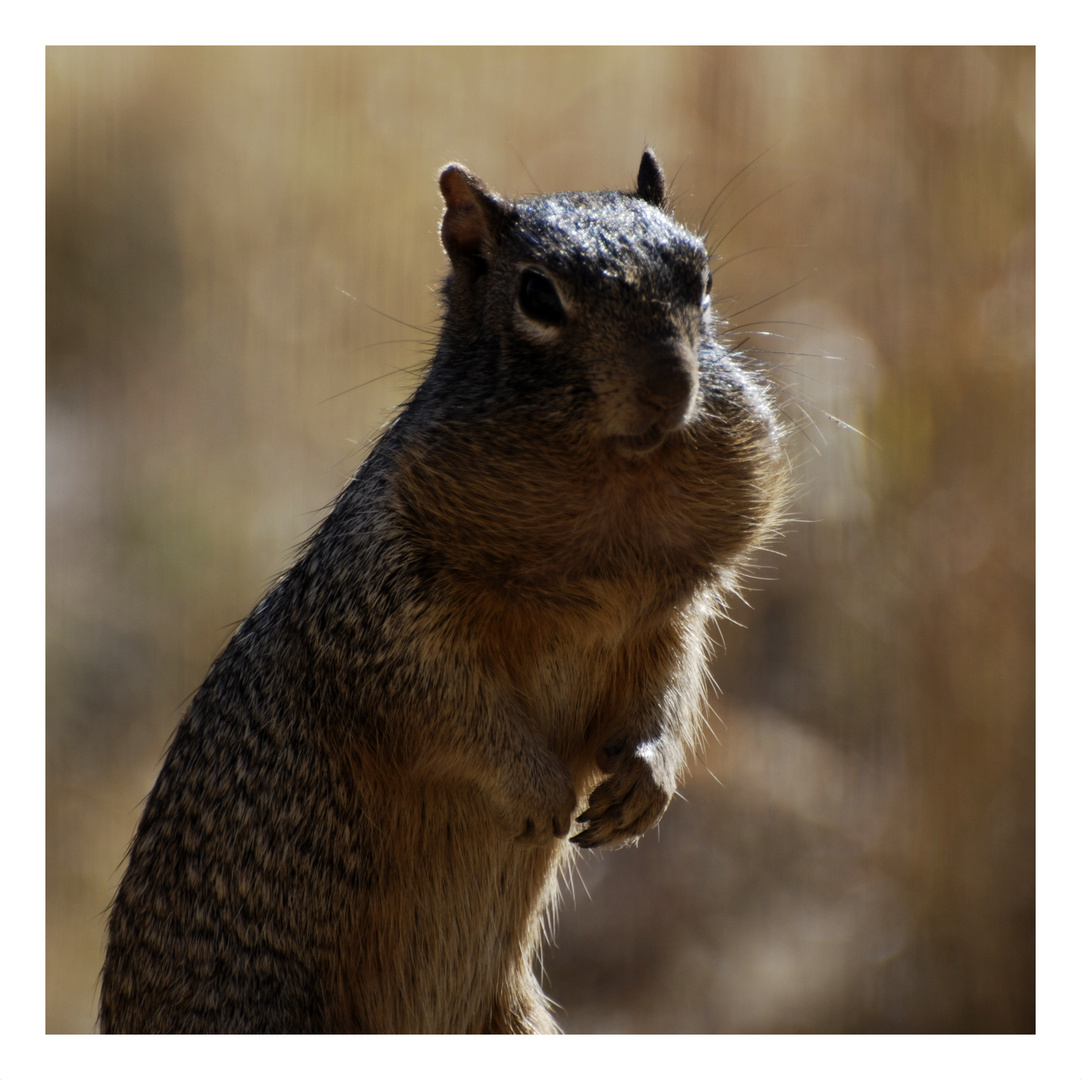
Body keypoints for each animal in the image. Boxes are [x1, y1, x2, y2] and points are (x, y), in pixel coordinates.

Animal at [99, 150, 786, 1029]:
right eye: (537, 296)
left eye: (700, 276)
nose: (671, 383)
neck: (609, 525)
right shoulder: (384, 622)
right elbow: (448, 706)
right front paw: (537, 791)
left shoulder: (666, 620)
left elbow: (669, 690)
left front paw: (646, 779)